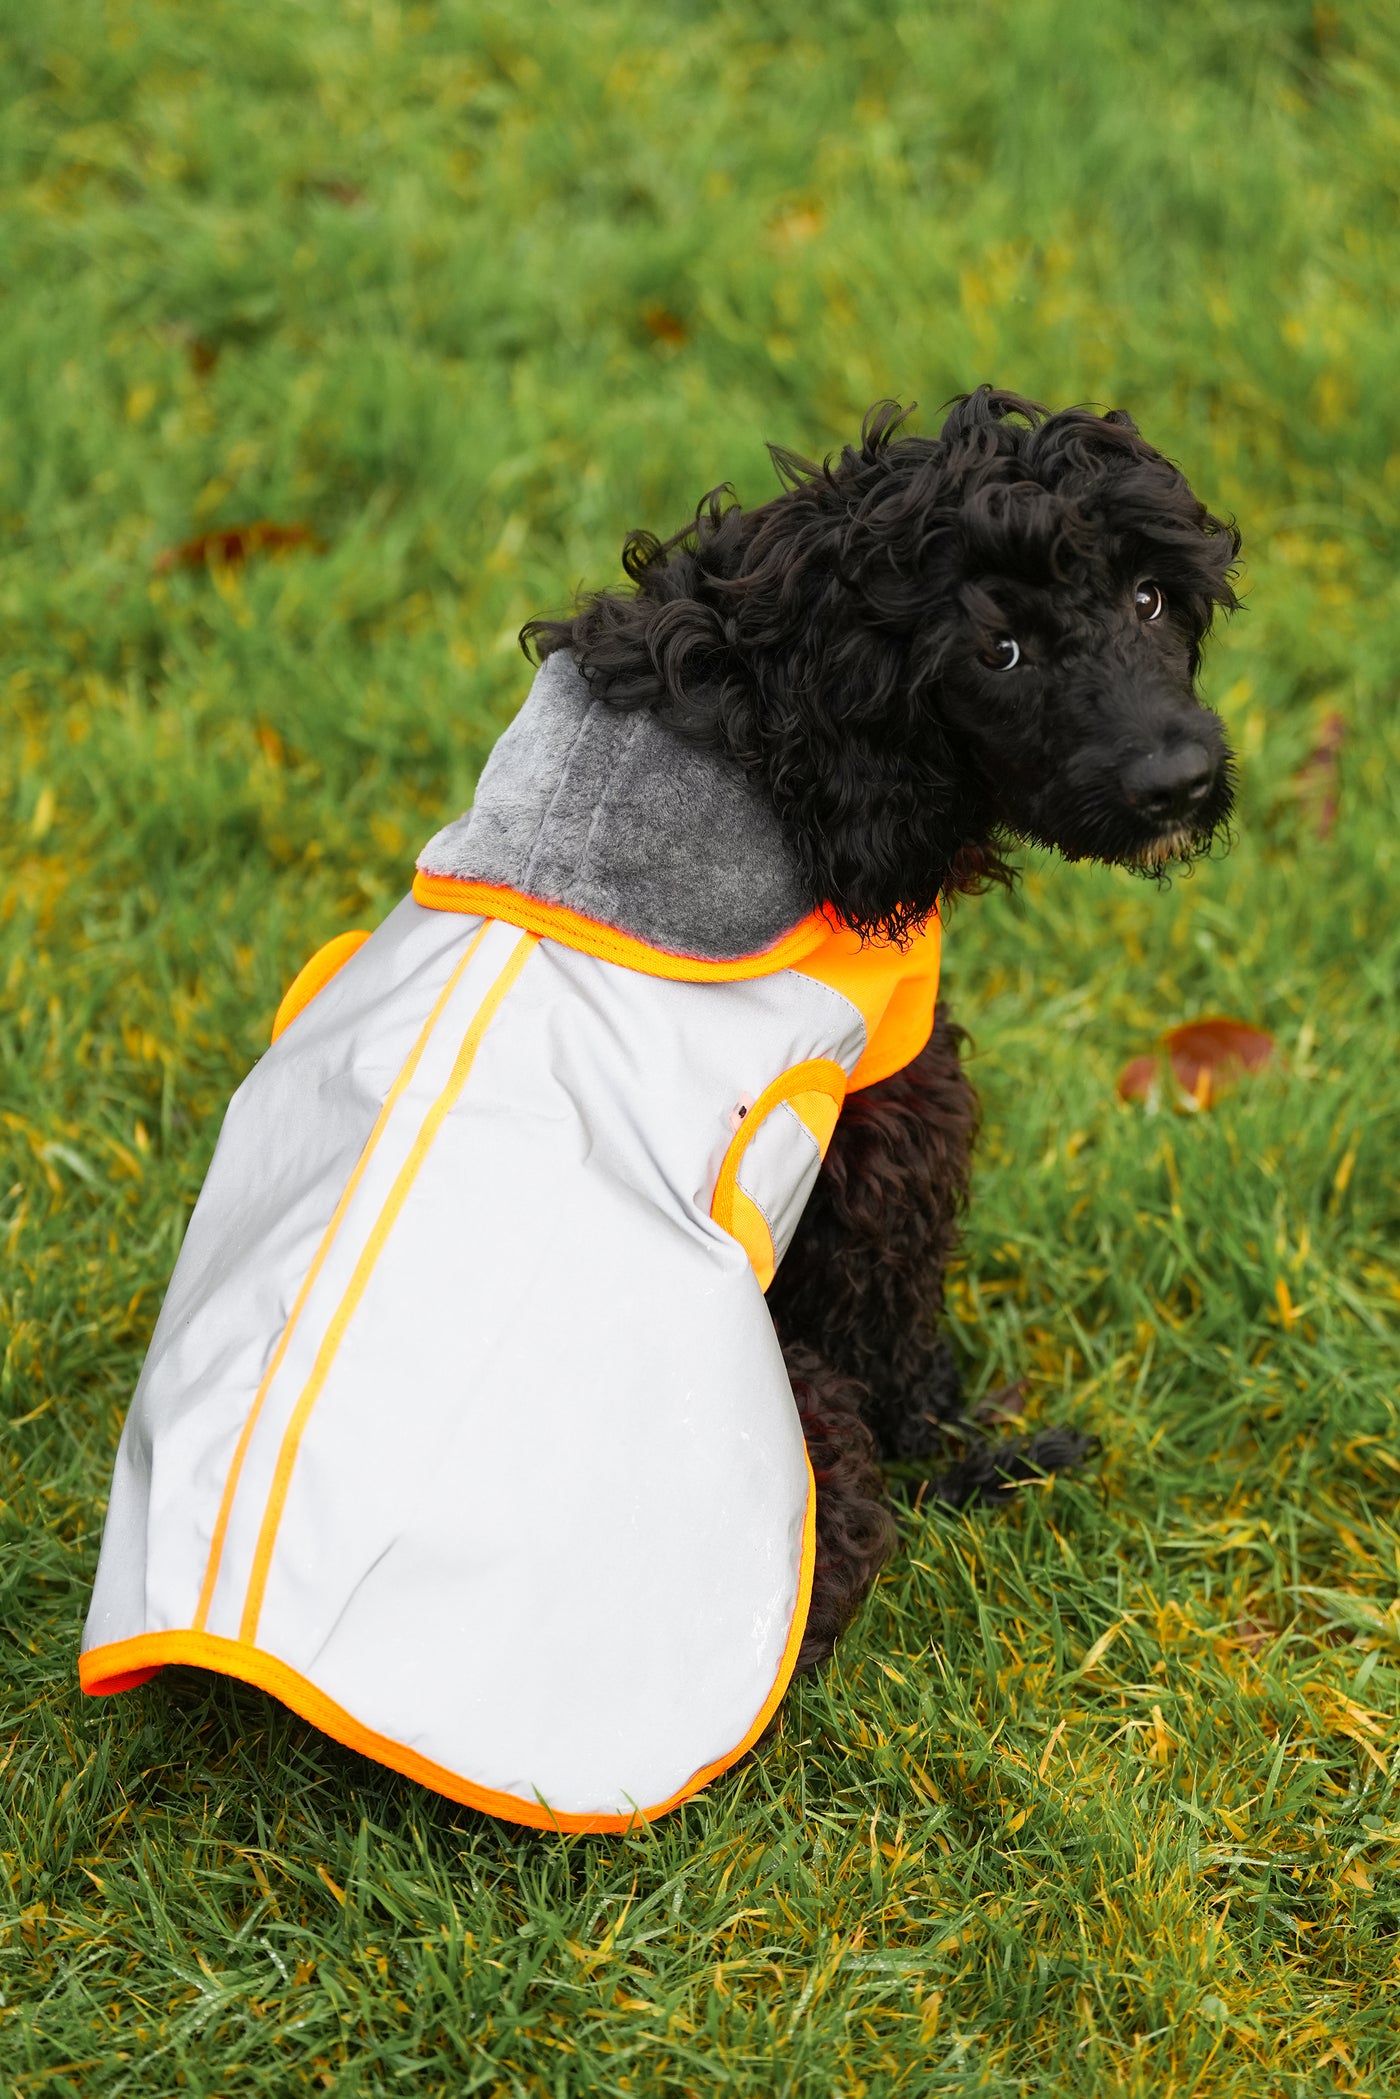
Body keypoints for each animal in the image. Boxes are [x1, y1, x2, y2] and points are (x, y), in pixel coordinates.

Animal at [522, 390, 1234, 1670]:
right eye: (997, 653)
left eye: (1149, 597)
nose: (1178, 782)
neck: (769, 706)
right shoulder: (888, 1114)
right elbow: (893, 1317)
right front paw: (945, 1426)